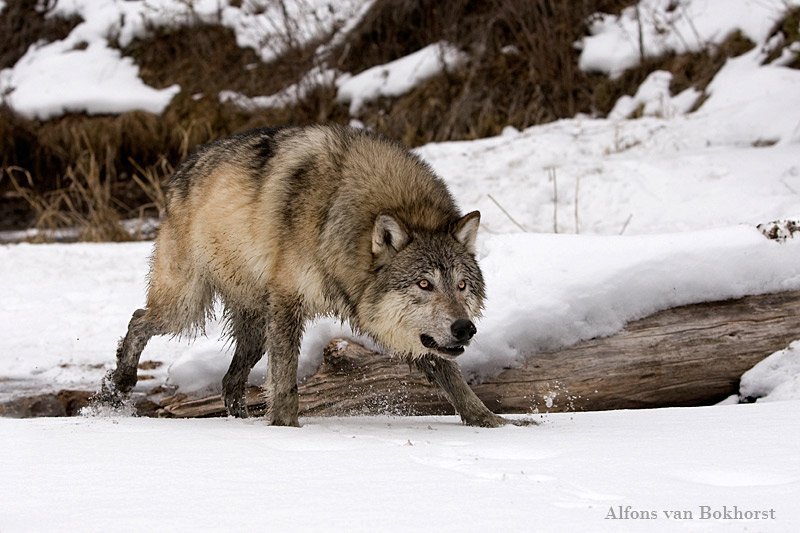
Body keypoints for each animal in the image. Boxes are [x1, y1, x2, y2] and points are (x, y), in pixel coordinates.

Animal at [103, 122, 506, 426]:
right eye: (424, 283)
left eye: (462, 285)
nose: (465, 328)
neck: (335, 216)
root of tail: (182, 169)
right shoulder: (287, 300)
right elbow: (285, 378)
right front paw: (285, 425)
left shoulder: (420, 336)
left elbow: (452, 376)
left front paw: (491, 423)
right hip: (186, 308)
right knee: (138, 319)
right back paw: (119, 384)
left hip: (255, 329)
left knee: (230, 380)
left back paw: (240, 421)